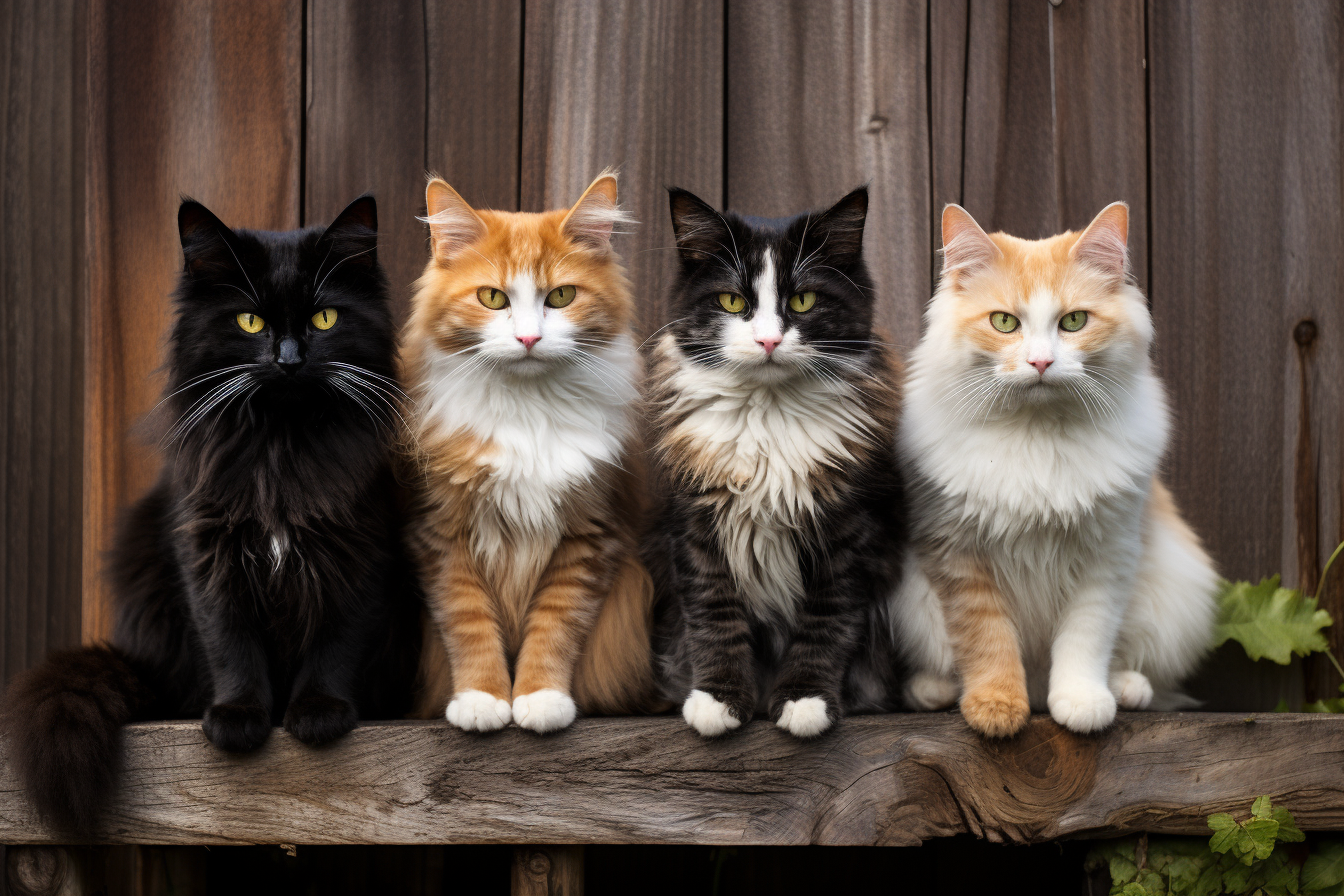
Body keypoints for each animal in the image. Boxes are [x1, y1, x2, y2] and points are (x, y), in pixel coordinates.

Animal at [2, 197, 419, 832]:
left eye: (324, 319)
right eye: (249, 323)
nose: (288, 359)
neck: (281, 449)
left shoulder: (362, 550)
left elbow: (336, 640)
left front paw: (319, 712)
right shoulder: (205, 552)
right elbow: (229, 639)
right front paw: (239, 717)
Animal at [403, 171, 655, 730]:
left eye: (561, 296)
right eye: (492, 298)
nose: (528, 339)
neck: (527, 408)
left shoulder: (589, 535)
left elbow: (554, 628)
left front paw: (540, 699)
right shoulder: (444, 534)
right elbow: (470, 624)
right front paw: (483, 699)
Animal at [642, 185, 913, 741]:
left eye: (803, 300)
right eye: (732, 301)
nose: (768, 340)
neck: (767, 419)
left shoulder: (849, 532)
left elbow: (825, 623)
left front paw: (805, 700)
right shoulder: (696, 526)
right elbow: (714, 617)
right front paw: (719, 701)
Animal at [897, 201, 1225, 736]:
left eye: (1073, 321)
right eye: (1004, 322)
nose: (1041, 363)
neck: (1037, 434)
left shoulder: (1107, 559)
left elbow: (1084, 642)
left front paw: (1081, 704)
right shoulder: (959, 557)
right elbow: (988, 643)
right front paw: (997, 708)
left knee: (1134, 666)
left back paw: (1125, 689)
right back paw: (936, 691)